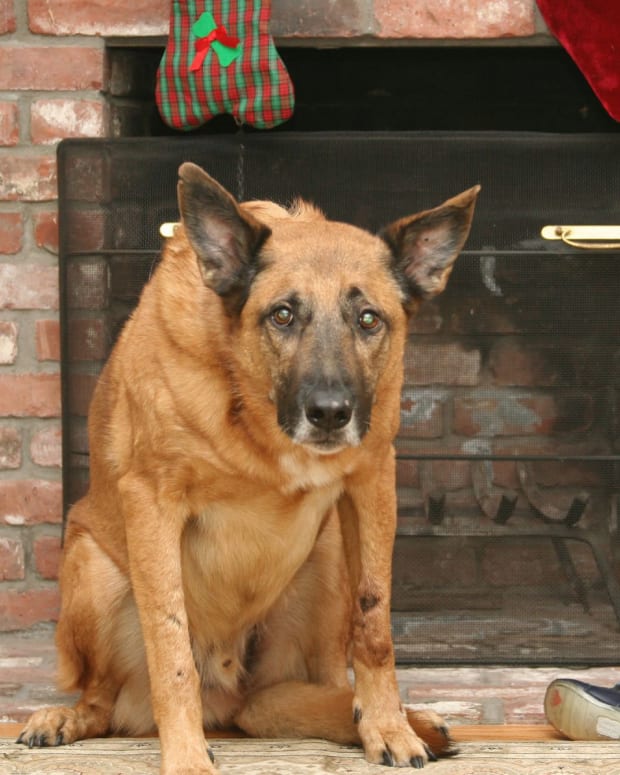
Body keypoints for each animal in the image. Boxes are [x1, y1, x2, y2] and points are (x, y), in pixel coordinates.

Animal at [18, 162, 474, 768]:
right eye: (281, 314)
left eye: (368, 319)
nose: (330, 413)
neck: (253, 414)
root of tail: (230, 696)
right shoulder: (152, 504)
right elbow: (170, 646)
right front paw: (187, 758)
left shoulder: (371, 480)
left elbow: (374, 623)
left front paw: (387, 726)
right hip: (93, 567)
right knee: (103, 700)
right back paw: (67, 717)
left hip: (329, 554)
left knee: (326, 681)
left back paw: (385, 721)